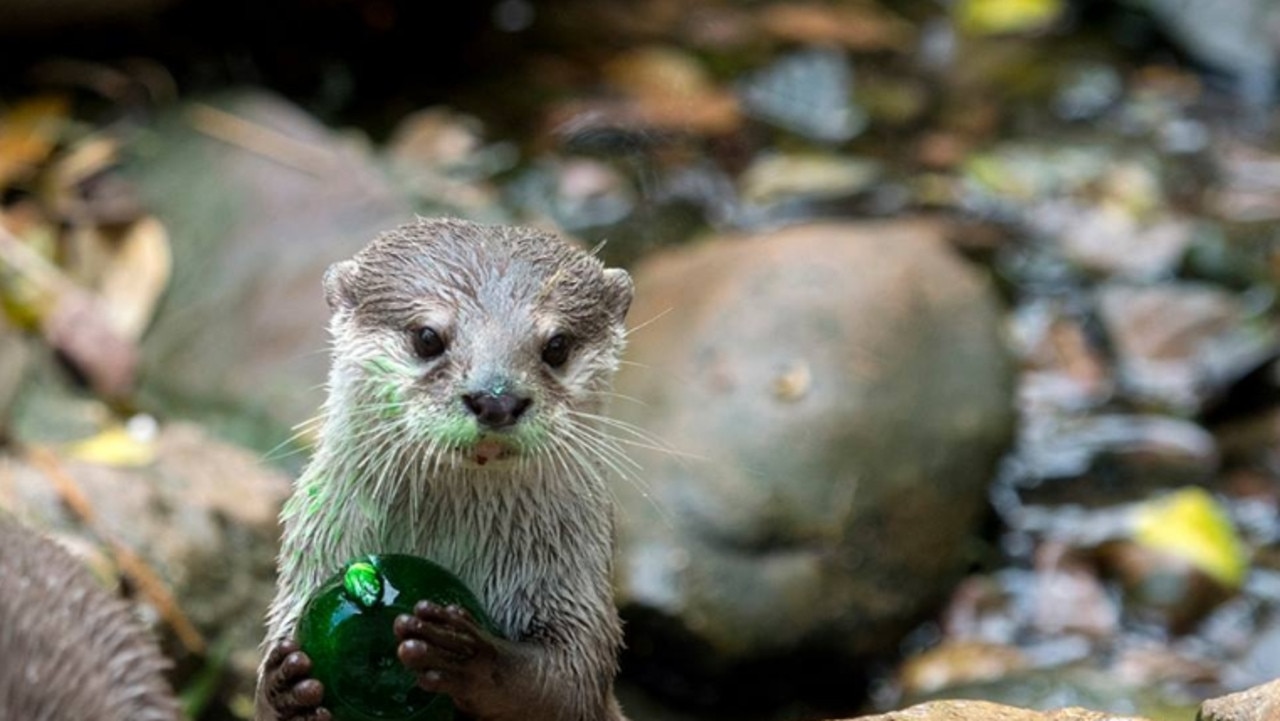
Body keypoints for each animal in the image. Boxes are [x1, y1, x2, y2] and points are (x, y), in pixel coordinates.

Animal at [258, 217, 634, 721]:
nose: (496, 398)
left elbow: (568, 682)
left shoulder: (576, 584)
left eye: (557, 346)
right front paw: (285, 686)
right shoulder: (308, 563)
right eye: (427, 337)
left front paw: (465, 655)